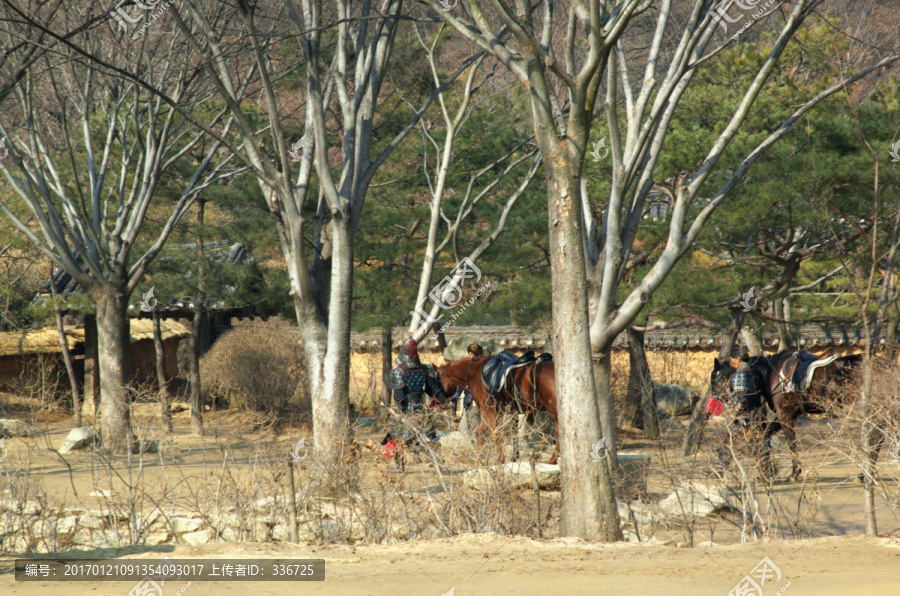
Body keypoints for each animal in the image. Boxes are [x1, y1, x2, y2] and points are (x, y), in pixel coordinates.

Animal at [712, 350, 864, 480]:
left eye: (715, 379)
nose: (714, 398)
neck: (770, 375)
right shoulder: (788, 414)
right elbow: (766, 436)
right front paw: (768, 470)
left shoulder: (784, 414)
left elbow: (791, 441)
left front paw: (794, 472)